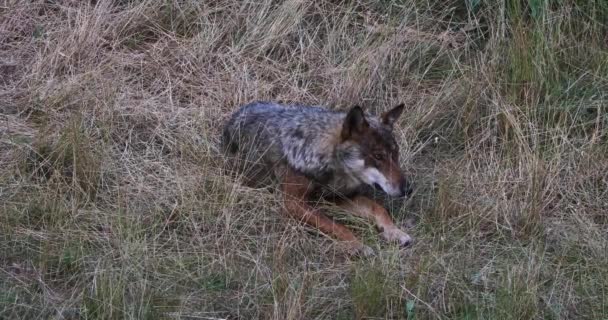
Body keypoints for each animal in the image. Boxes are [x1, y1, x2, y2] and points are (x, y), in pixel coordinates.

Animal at [221, 101, 416, 256]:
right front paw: (357, 245)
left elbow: (378, 208)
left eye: (396, 154)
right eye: (378, 156)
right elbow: (336, 225)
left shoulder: (336, 197)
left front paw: (394, 231)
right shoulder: (293, 203)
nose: (408, 189)